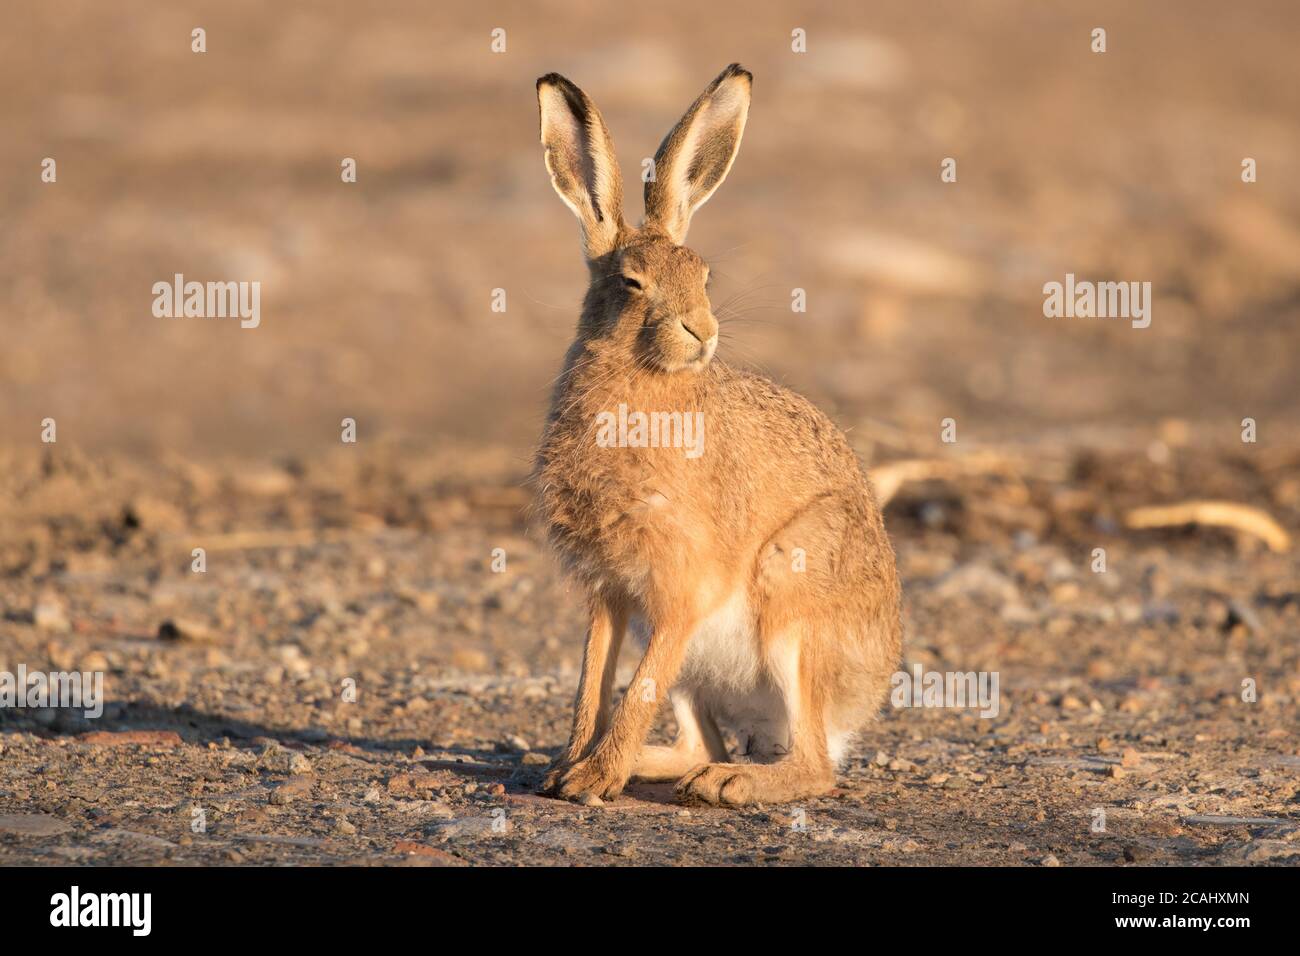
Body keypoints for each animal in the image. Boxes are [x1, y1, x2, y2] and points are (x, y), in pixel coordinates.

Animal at [531, 63, 902, 806]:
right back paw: (662, 768)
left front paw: (595, 779)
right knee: (703, 740)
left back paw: (727, 784)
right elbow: (591, 682)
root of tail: (864, 701)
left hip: (793, 602)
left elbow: (636, 687)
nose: (701, 331)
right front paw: (567, 770)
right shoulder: (610, 592)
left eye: (706, 275)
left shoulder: (682, 588)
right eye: (631, 282)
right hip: (701, 666)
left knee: (813, 767)